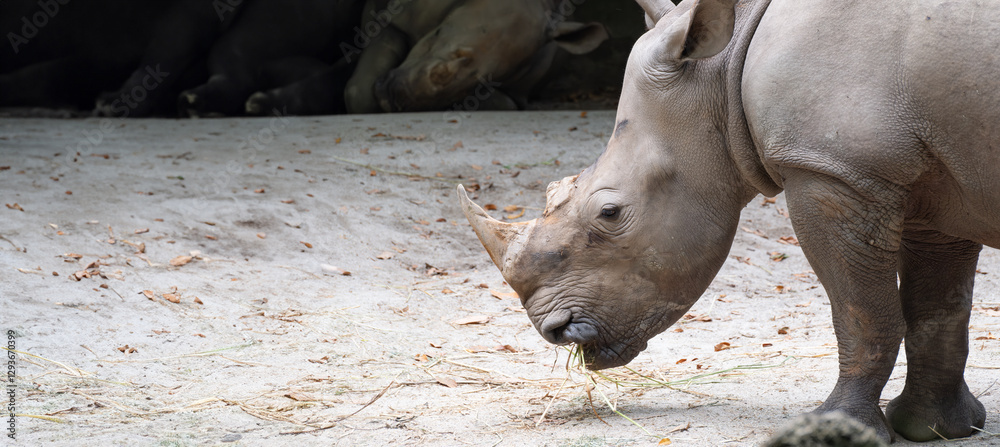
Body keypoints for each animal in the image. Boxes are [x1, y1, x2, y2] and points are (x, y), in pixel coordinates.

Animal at [459, 0, 1000, 442]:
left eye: (609, 213)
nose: (555, 331)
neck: (722, 71)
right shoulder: (933, 182)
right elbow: (937, 307)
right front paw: (938, 428)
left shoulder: (832, 170)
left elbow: (860, 311)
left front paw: (840, 429)